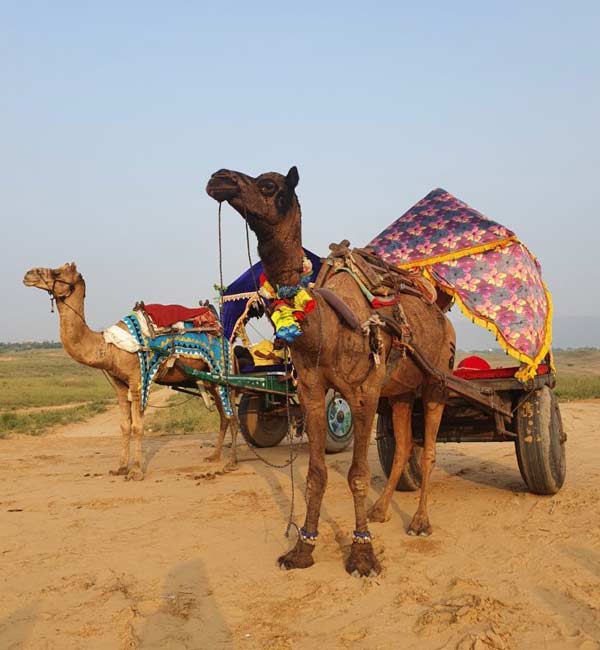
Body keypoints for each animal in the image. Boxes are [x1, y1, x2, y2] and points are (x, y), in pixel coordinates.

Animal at [23, 263, 237, 480]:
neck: (109, 346)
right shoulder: (119, 384)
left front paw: (135, 470)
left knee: (232, 415)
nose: (28, 274)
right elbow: (124, 426)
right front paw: (120, 468)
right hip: (212, 381)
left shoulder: (138, 380)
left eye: (57, 272)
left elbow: (137, 427)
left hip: (224, 373)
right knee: (224, 416)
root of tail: (226, 340)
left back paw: (231, 462)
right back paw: (215, 457)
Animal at [206, 167, 455, 576]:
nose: (219, 178)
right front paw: (302, 548)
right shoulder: (310, 391)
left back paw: (420, 522)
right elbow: (316, 473)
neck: (326, 325)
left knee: (430, 448)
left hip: (437, 379)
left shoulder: (364, 392)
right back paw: (381, 511)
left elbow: (356, 474)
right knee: (404, 445)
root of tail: (441, 313)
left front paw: (362, 553)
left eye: (268, 185)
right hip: (401, 392)